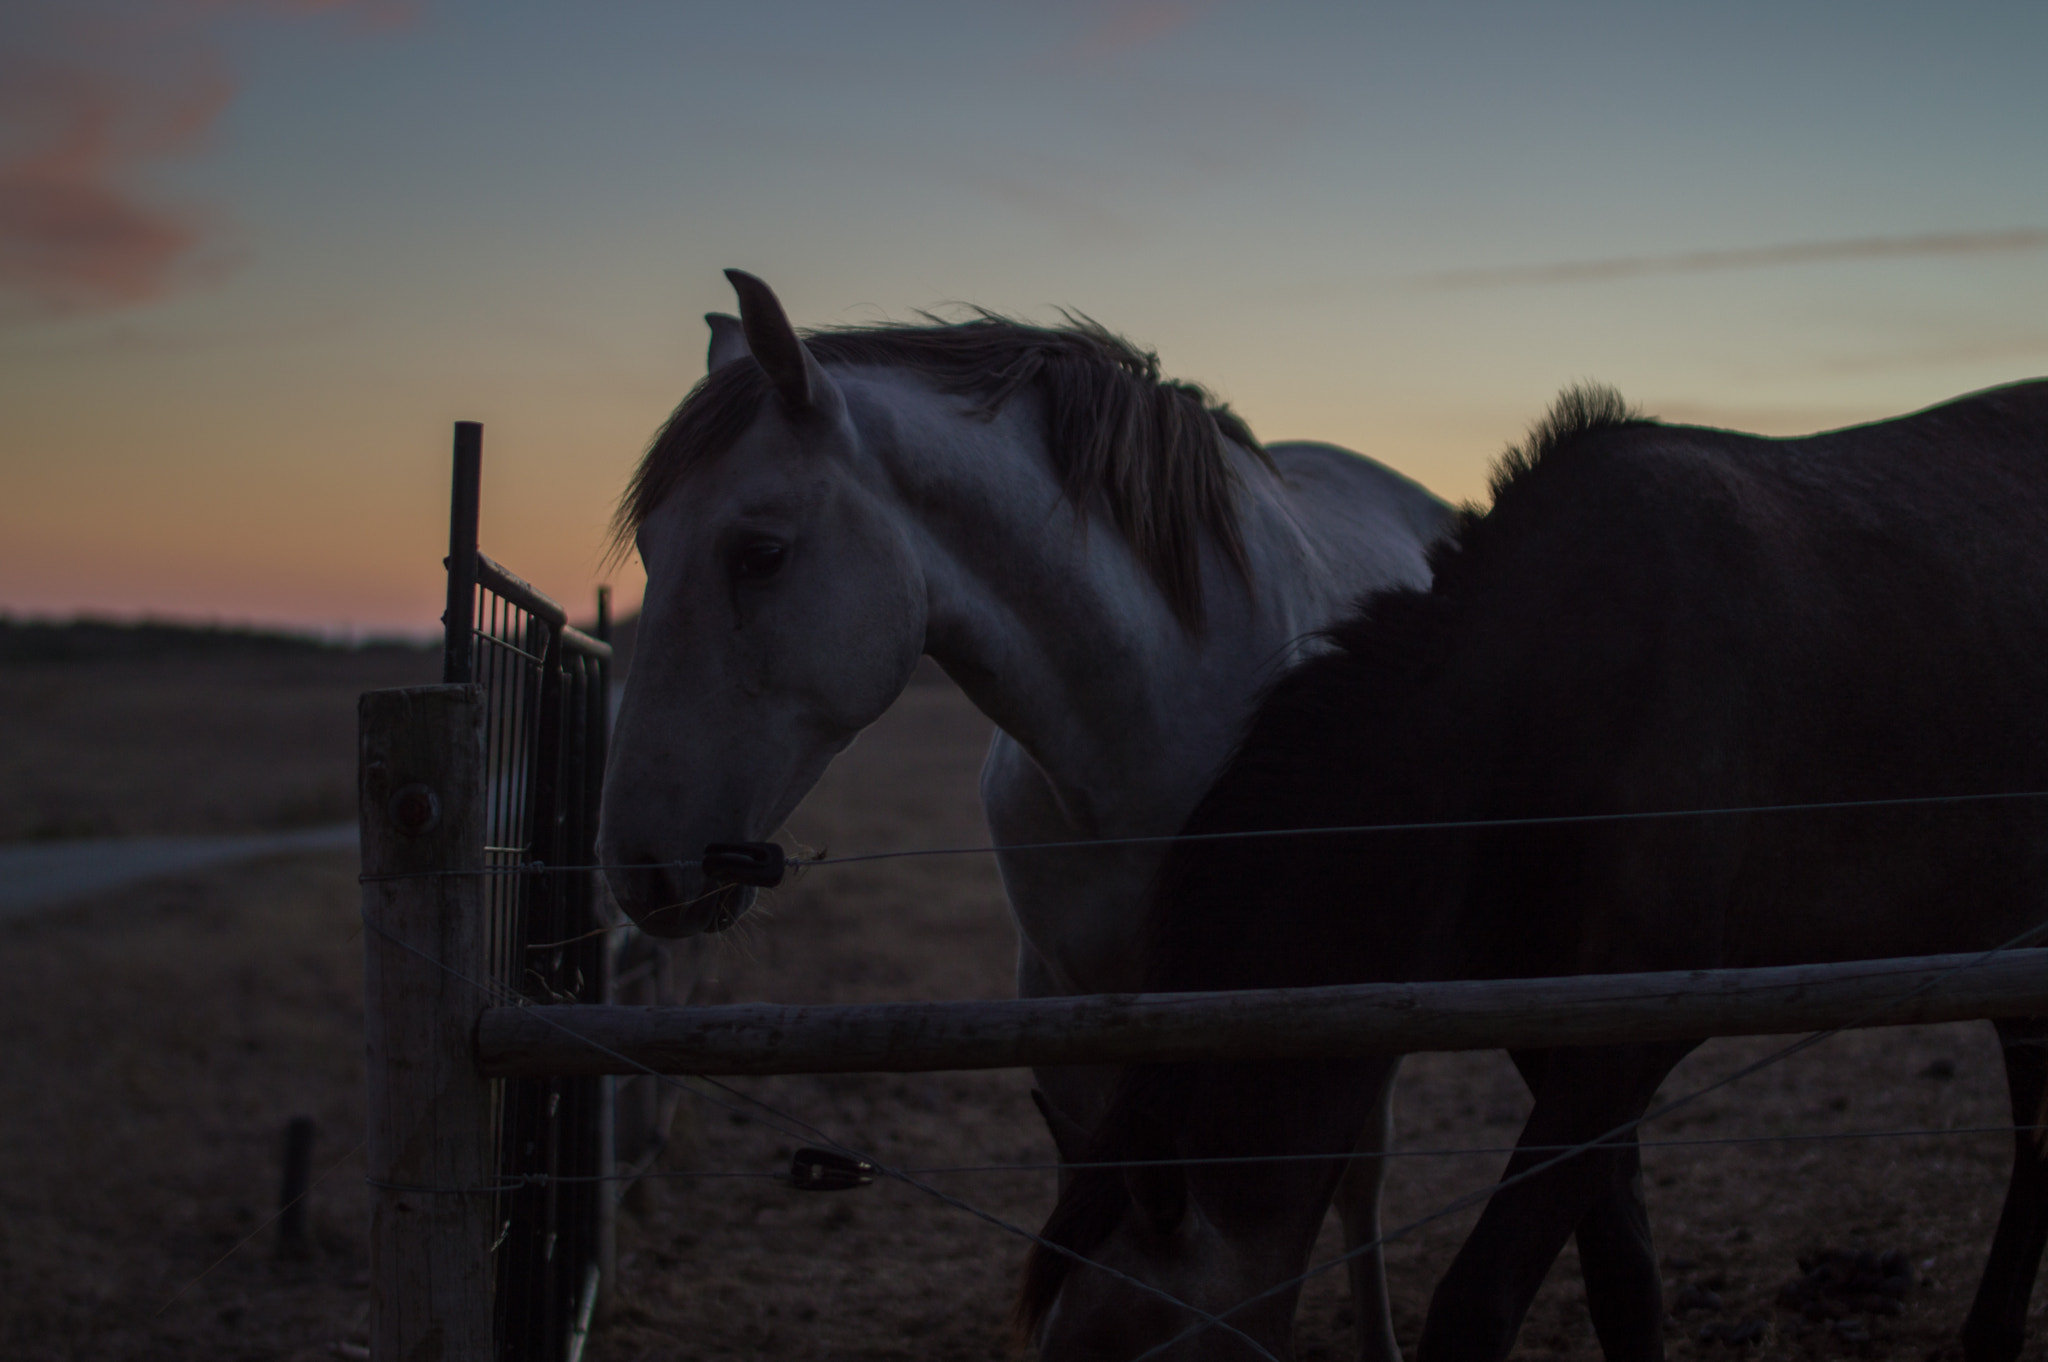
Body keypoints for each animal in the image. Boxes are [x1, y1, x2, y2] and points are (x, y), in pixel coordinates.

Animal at [598, 268, 1449, 1359]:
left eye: (760, 554)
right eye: (650, 549)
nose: (638, 866)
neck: (1148, 725)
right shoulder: (1064, 1005)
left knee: (1361, 1177)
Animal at [1032, 378, 2048, 1359]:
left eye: (1119, 1350)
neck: (1548, 703)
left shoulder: (1632, 1035)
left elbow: (1478, 1304)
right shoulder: (1558, 1029)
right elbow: (1625, 1285)